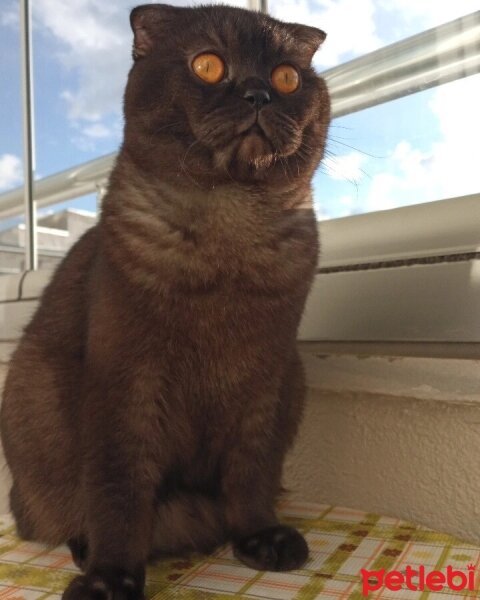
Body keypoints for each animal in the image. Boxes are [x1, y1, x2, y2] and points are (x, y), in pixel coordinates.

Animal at [0, 4, 330, 600]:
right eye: (208, 65)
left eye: (287, 78)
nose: (257, 94)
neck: (229, 232)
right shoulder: (127, 382)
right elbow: (120, 492)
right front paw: (111, 579)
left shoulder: (264, 380)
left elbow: (251, 477)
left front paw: (261, 542)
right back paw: (86, 552)